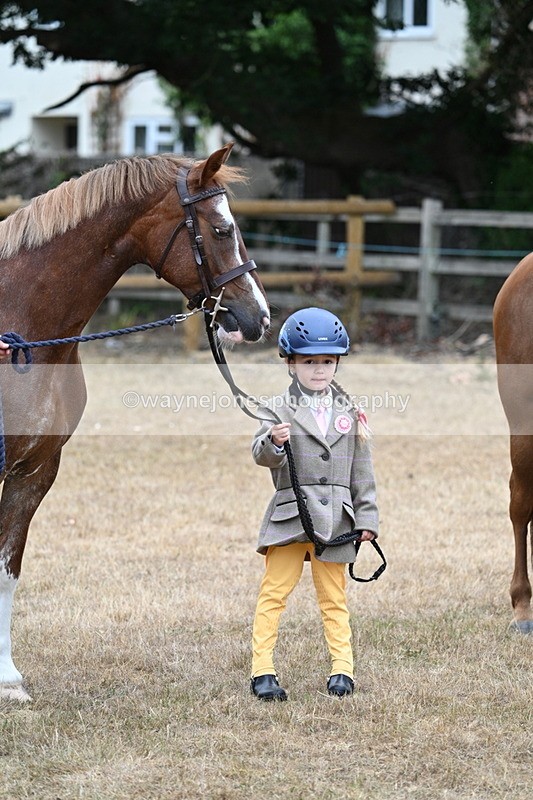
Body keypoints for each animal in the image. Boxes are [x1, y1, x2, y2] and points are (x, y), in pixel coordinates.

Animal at [0, 142, 270, 700]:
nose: (259, 317)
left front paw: (7, 678)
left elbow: (6, 570)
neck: (23, 329)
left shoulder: (34, 472)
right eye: (220, 230)